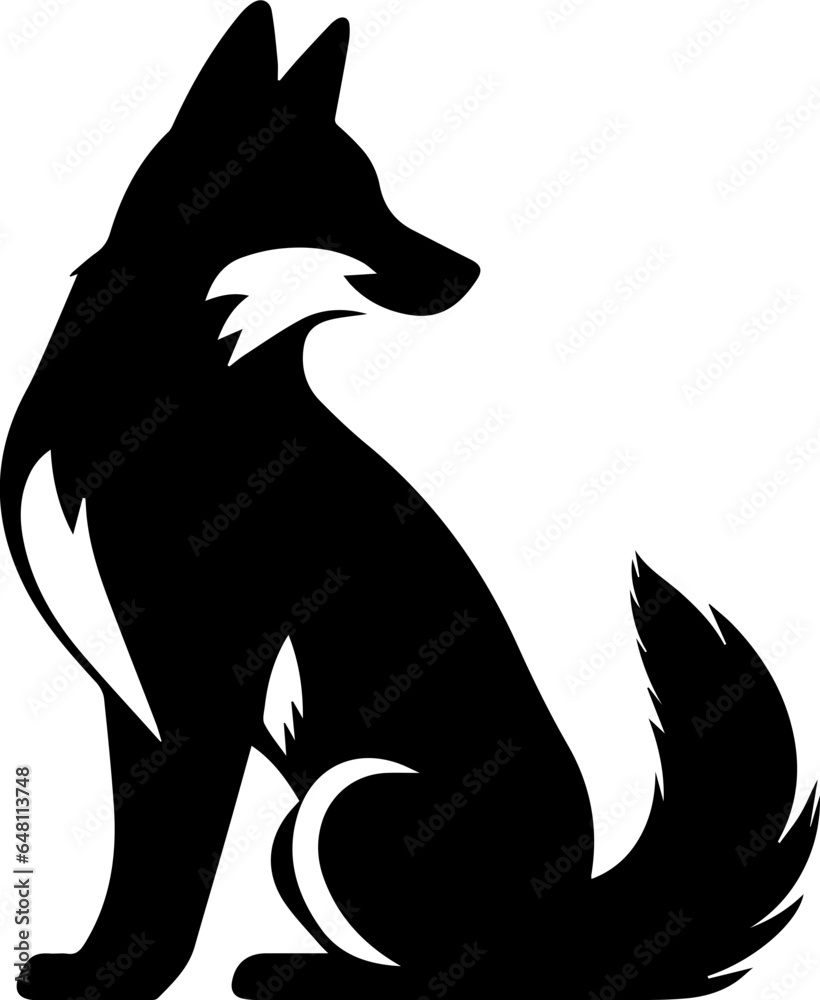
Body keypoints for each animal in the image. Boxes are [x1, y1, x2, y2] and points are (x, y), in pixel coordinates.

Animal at [1, 4, 816, 998]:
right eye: (338, 197)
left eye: (376, 190)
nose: (467, 272)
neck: (171, 384)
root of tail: (575, 917)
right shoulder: (134, 692)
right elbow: (138, 853)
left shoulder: (195, 693)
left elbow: (165, 872)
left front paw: (112, 978)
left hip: (347, 803)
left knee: (458, 972)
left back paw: (297, 975)